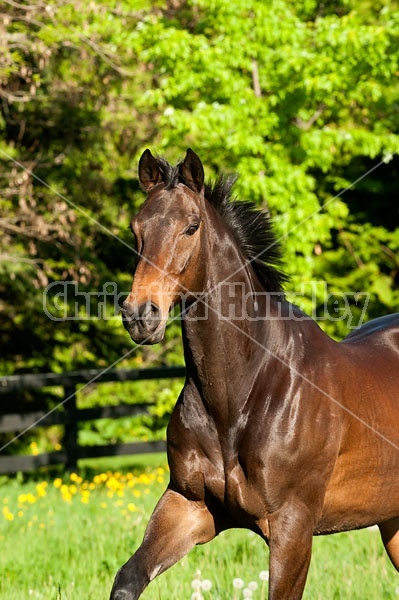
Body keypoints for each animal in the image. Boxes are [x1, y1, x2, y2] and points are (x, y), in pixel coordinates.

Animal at [111, 148, 399, 596]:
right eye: (136, 227)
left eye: (191, 227)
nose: (141, 316)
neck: (240, 397)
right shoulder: (188, 505)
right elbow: (128, 579)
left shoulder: (292, 527)